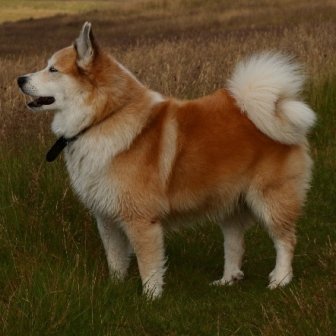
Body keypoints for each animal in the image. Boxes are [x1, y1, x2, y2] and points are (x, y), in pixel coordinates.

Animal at [16, 22, 316, 298]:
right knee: (234, 245)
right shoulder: (107, 218)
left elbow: (148, 264)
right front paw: (116, 288)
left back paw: (280, 279)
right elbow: (115, 259)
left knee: (286, 240)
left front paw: (150, 298)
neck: (104, 117)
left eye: (53, 70)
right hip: (229, 203)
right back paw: (227, 279)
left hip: (271, 198)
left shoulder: (141, 219)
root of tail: (278, 106)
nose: (20, 79)